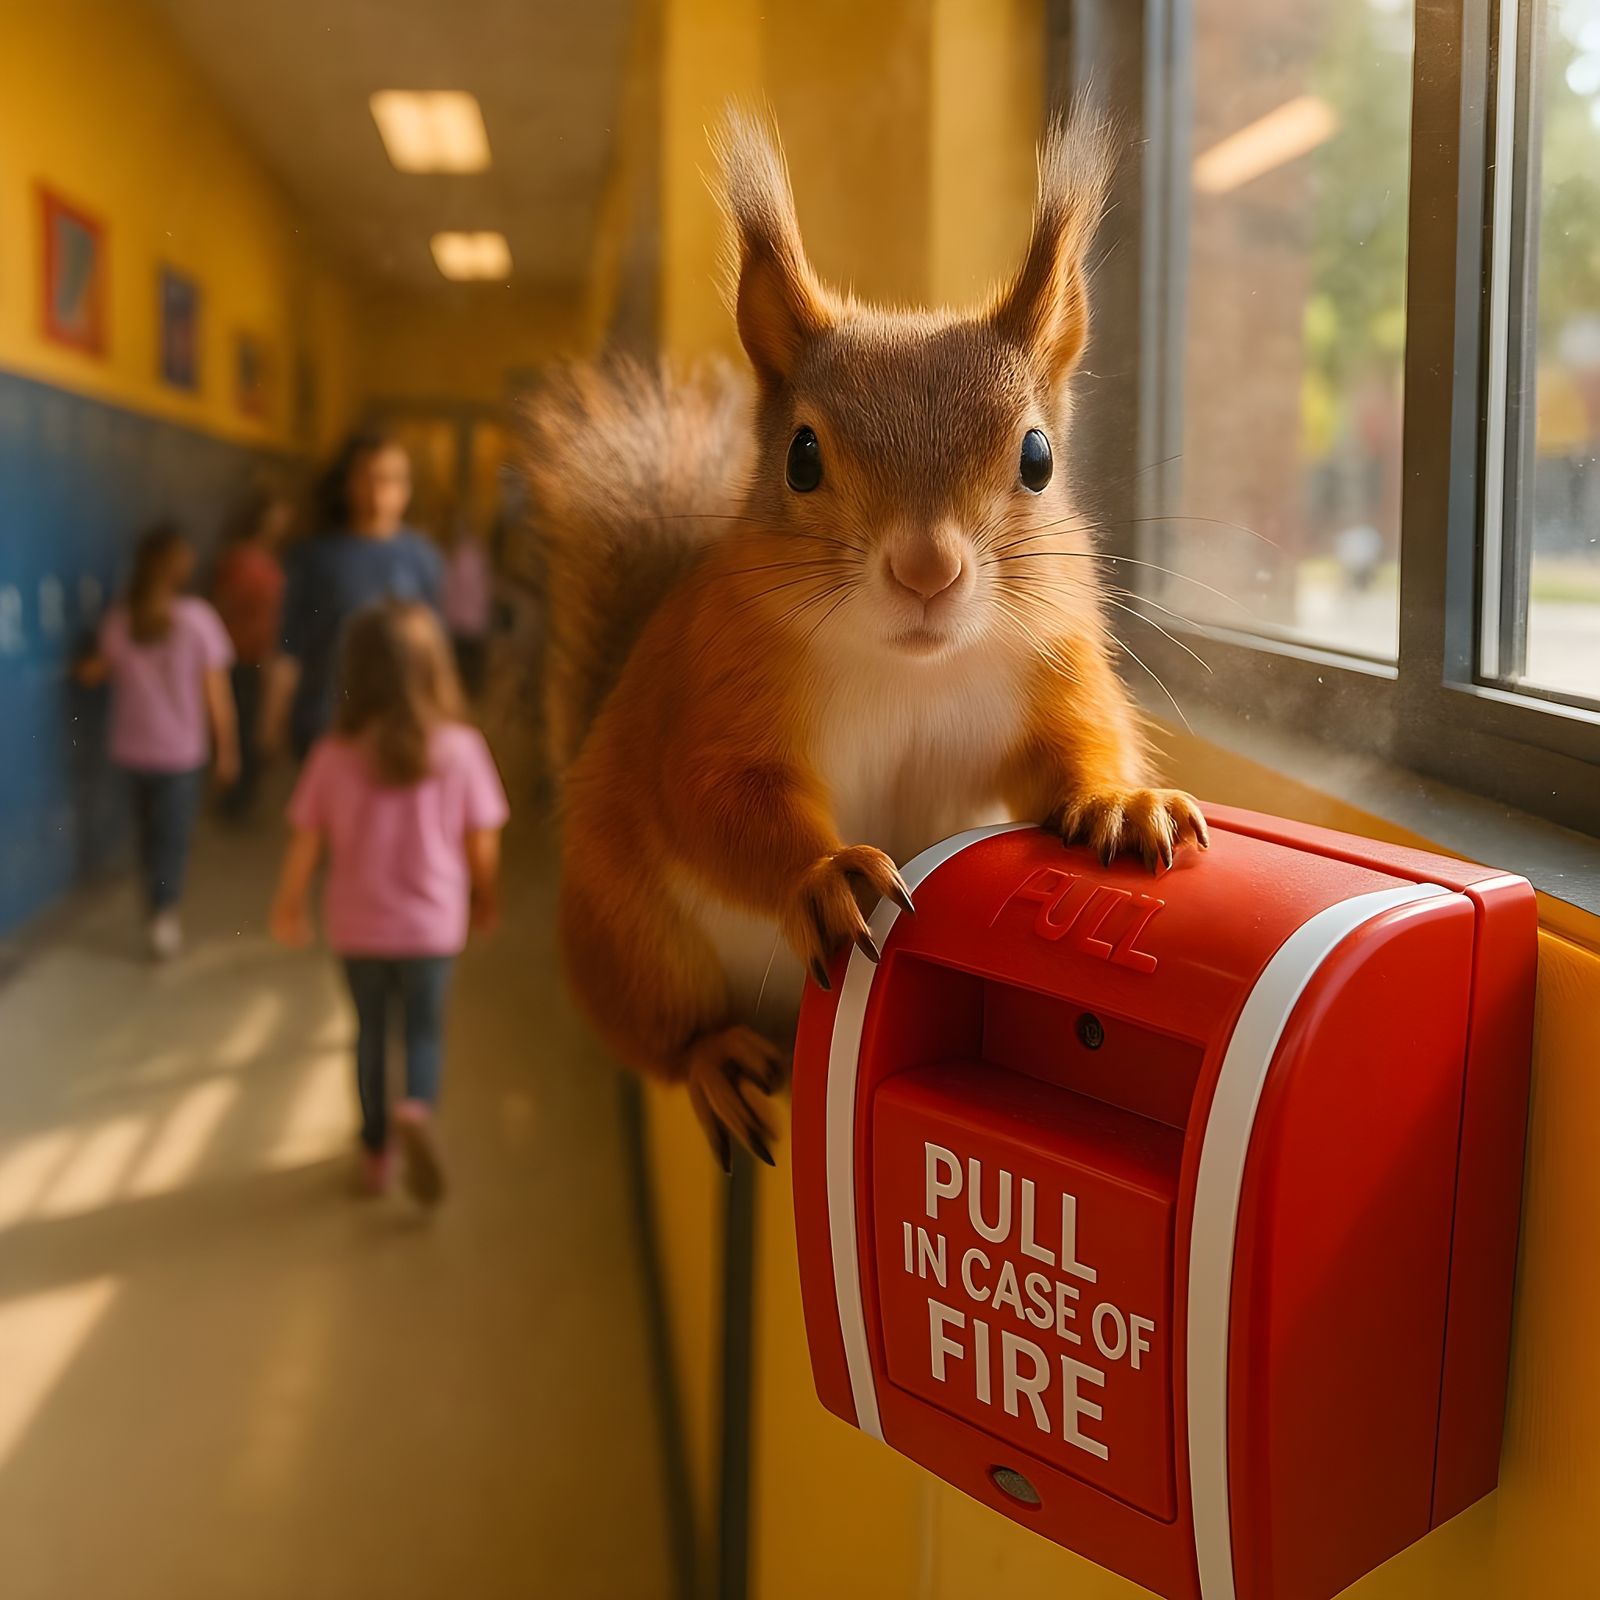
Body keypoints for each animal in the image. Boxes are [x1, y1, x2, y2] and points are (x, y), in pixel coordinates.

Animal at [522, 111, 1208, 1170]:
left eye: (1039, 457)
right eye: (801, 457)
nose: (927, 570)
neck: (908, 671)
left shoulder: (1053, 672)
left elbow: (1074, 751)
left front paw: (1122, 805)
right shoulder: (718, 692)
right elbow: (717, 797)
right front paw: (828, 873)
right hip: (636, 945)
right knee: (664, 1034)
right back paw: (716, 1060)